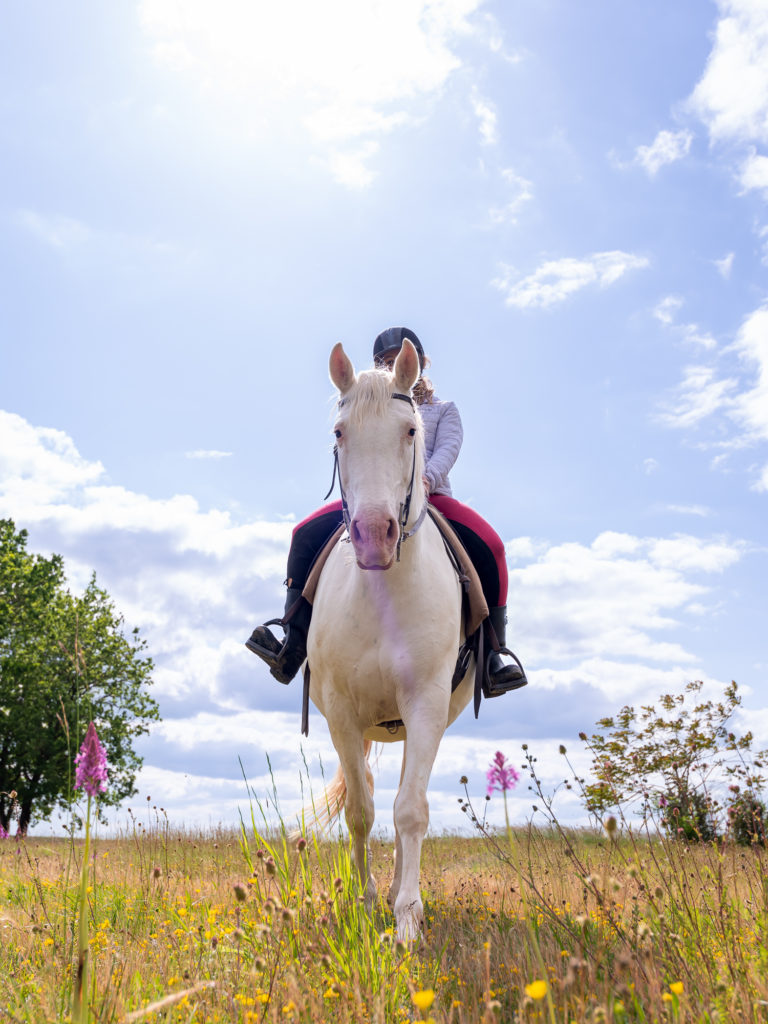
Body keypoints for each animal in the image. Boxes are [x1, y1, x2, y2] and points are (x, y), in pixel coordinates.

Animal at [305, 339, 475, 937]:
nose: (375, 536)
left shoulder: (425, 704)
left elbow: (410, 811)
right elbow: (360, 812)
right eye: (339, 432)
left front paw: (406, 919)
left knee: (408, 803)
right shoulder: (340, 712)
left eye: (410, 431)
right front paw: (363, 903)